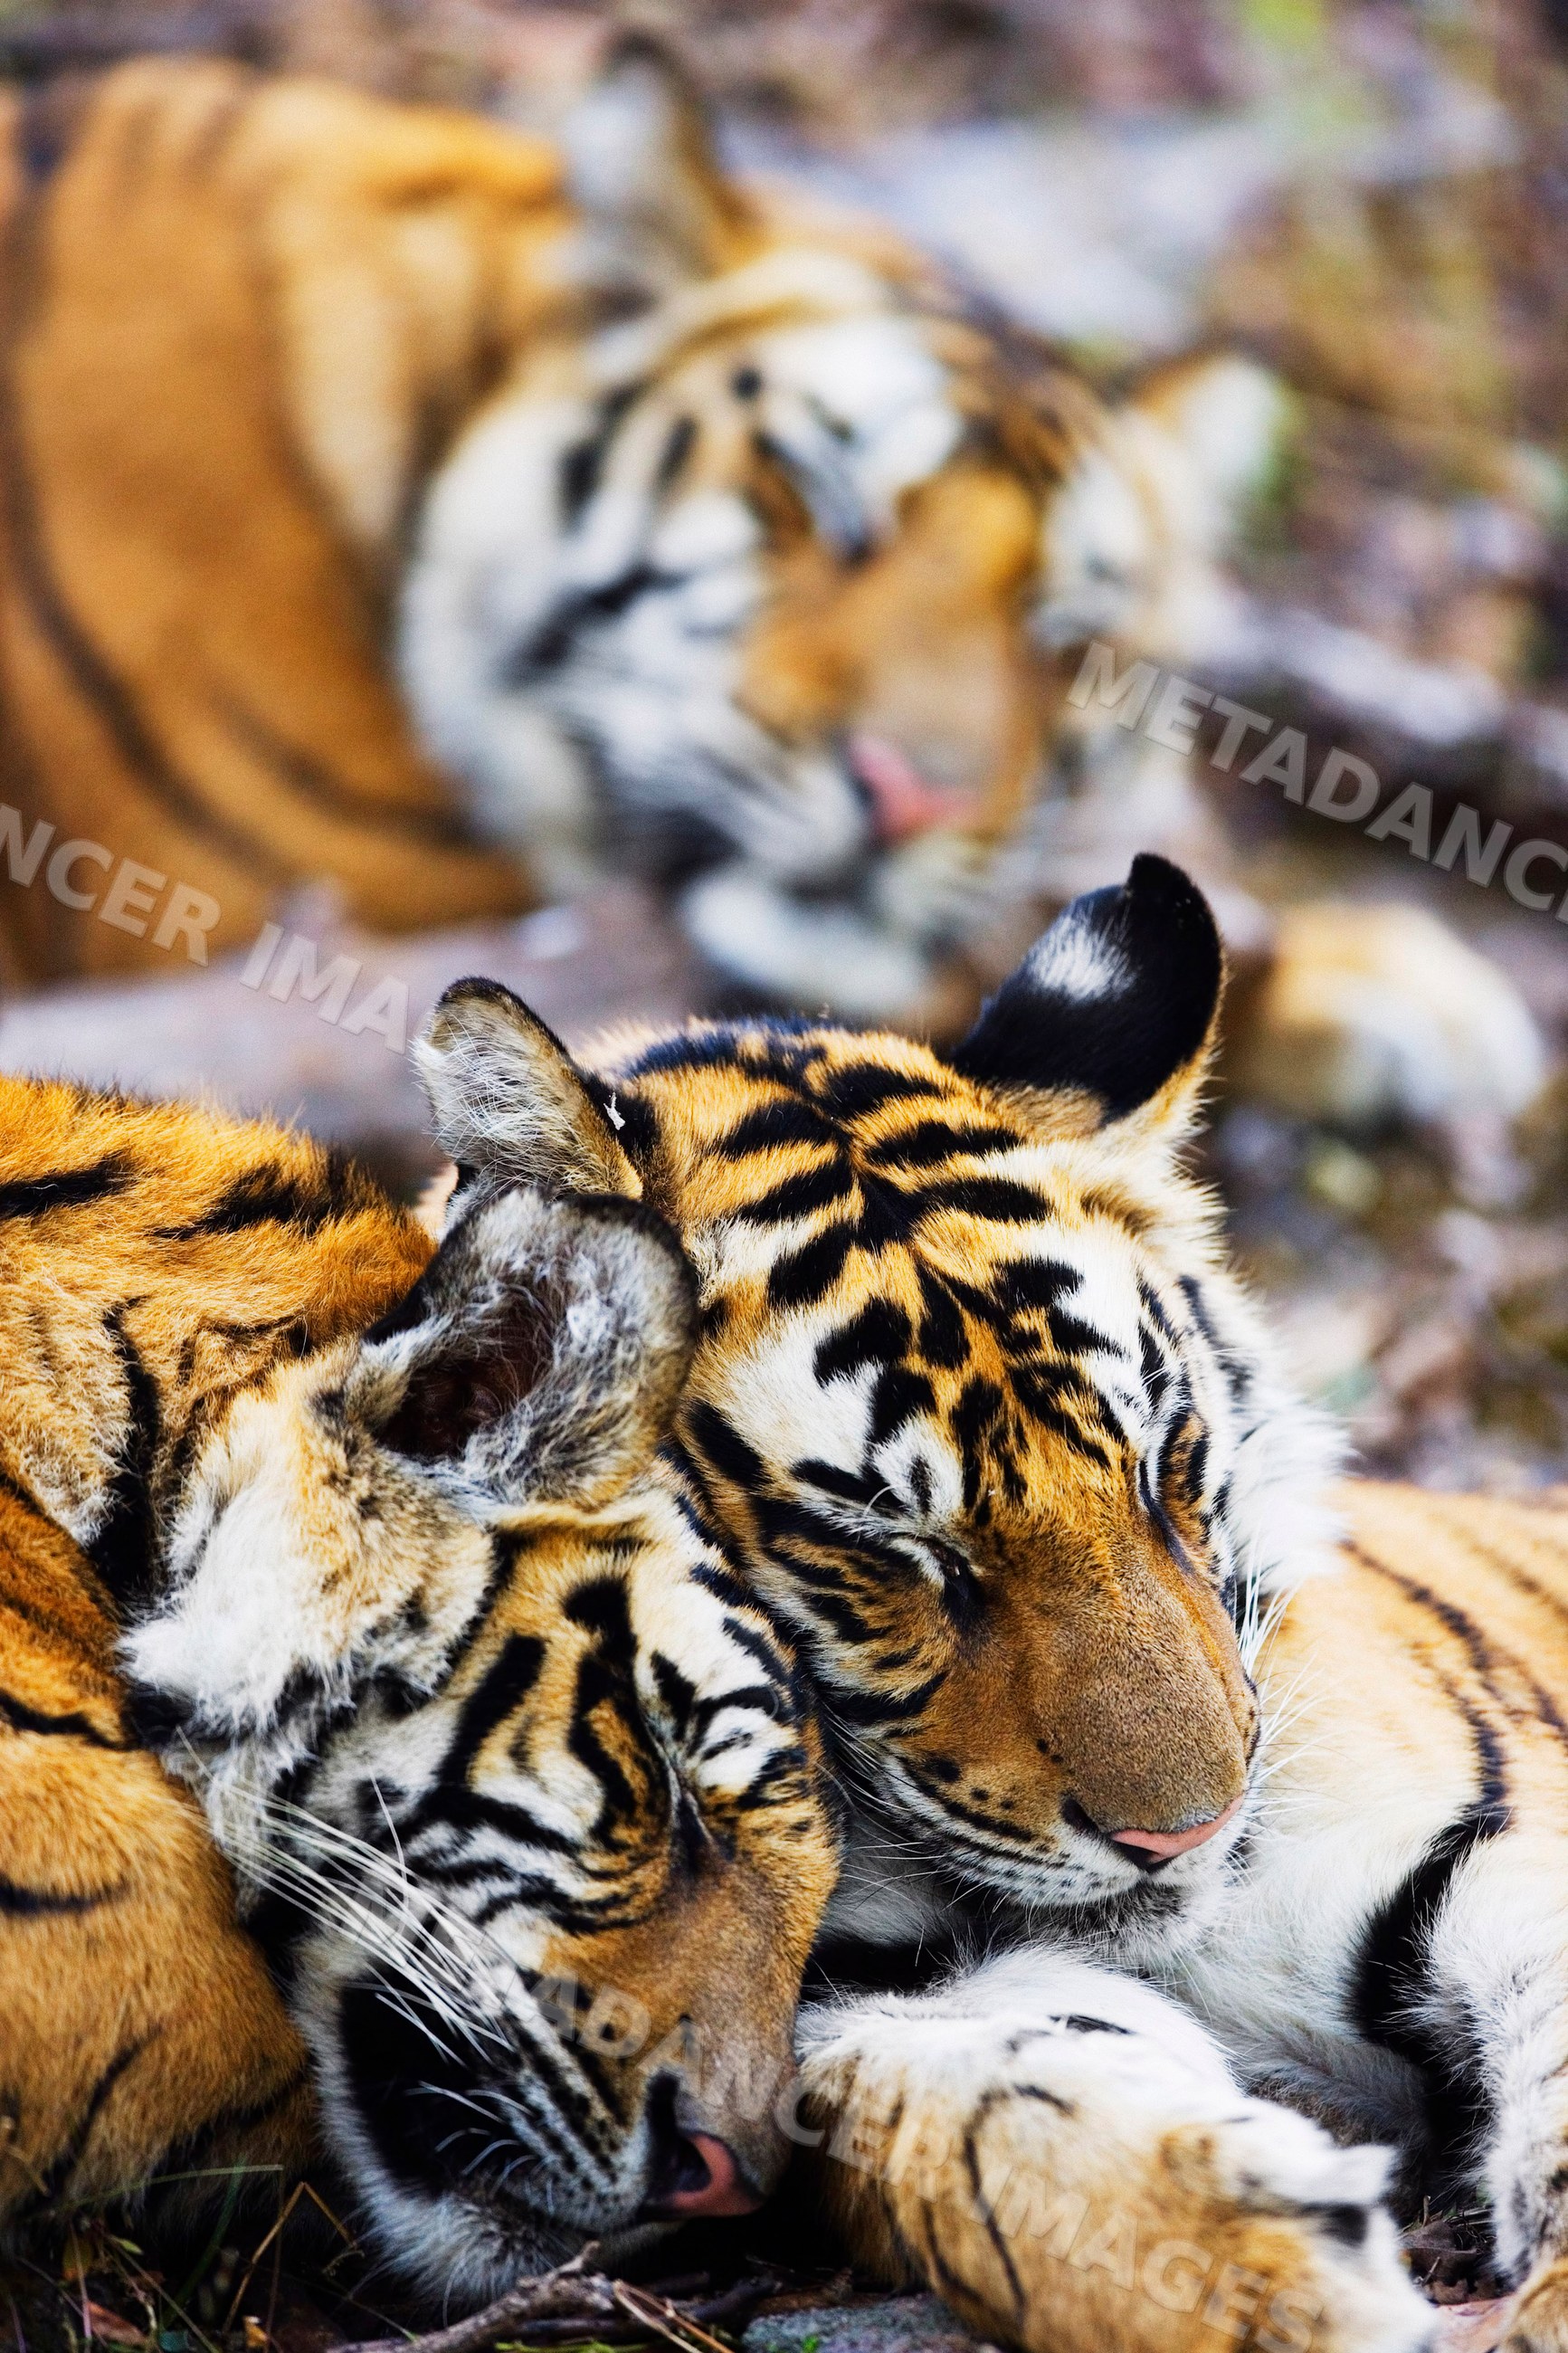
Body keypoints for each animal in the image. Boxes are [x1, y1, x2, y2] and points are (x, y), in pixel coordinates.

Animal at [410, 853, 1568, 2353]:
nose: (1185, 1834)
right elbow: (981, 2121)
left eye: (1164, 1469)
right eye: (888, 1547)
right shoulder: (825, 2008)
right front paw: (1275, 2279)